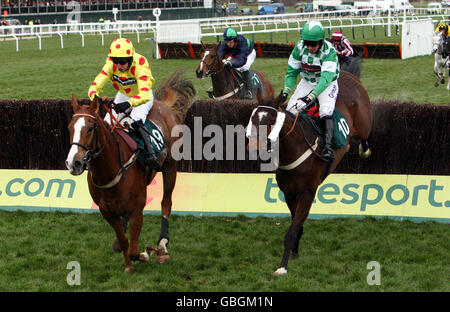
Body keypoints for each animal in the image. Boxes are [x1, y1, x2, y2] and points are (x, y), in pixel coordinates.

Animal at [66, 70, 196, 272]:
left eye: (90, 128)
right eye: (69, 128)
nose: (74, 163)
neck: (111, 171)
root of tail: (164, 105)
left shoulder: (137, 210)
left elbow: (135, 250)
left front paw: (149, 252)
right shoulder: (106, 212)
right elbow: (123, 240)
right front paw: (128, 266)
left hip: (170, 166)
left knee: (166, 204)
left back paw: (163, 245)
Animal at [246, 70, 372, 272]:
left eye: (271, 120)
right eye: (253, 119)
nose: (252, 147)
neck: (294, 151)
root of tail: (347, 74)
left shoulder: (307, 192)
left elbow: (292, 229)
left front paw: (282, 266)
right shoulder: (289, 193)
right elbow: (296, 225)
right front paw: (294, 252)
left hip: (363, 122)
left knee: (365, 135)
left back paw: (365, 150)